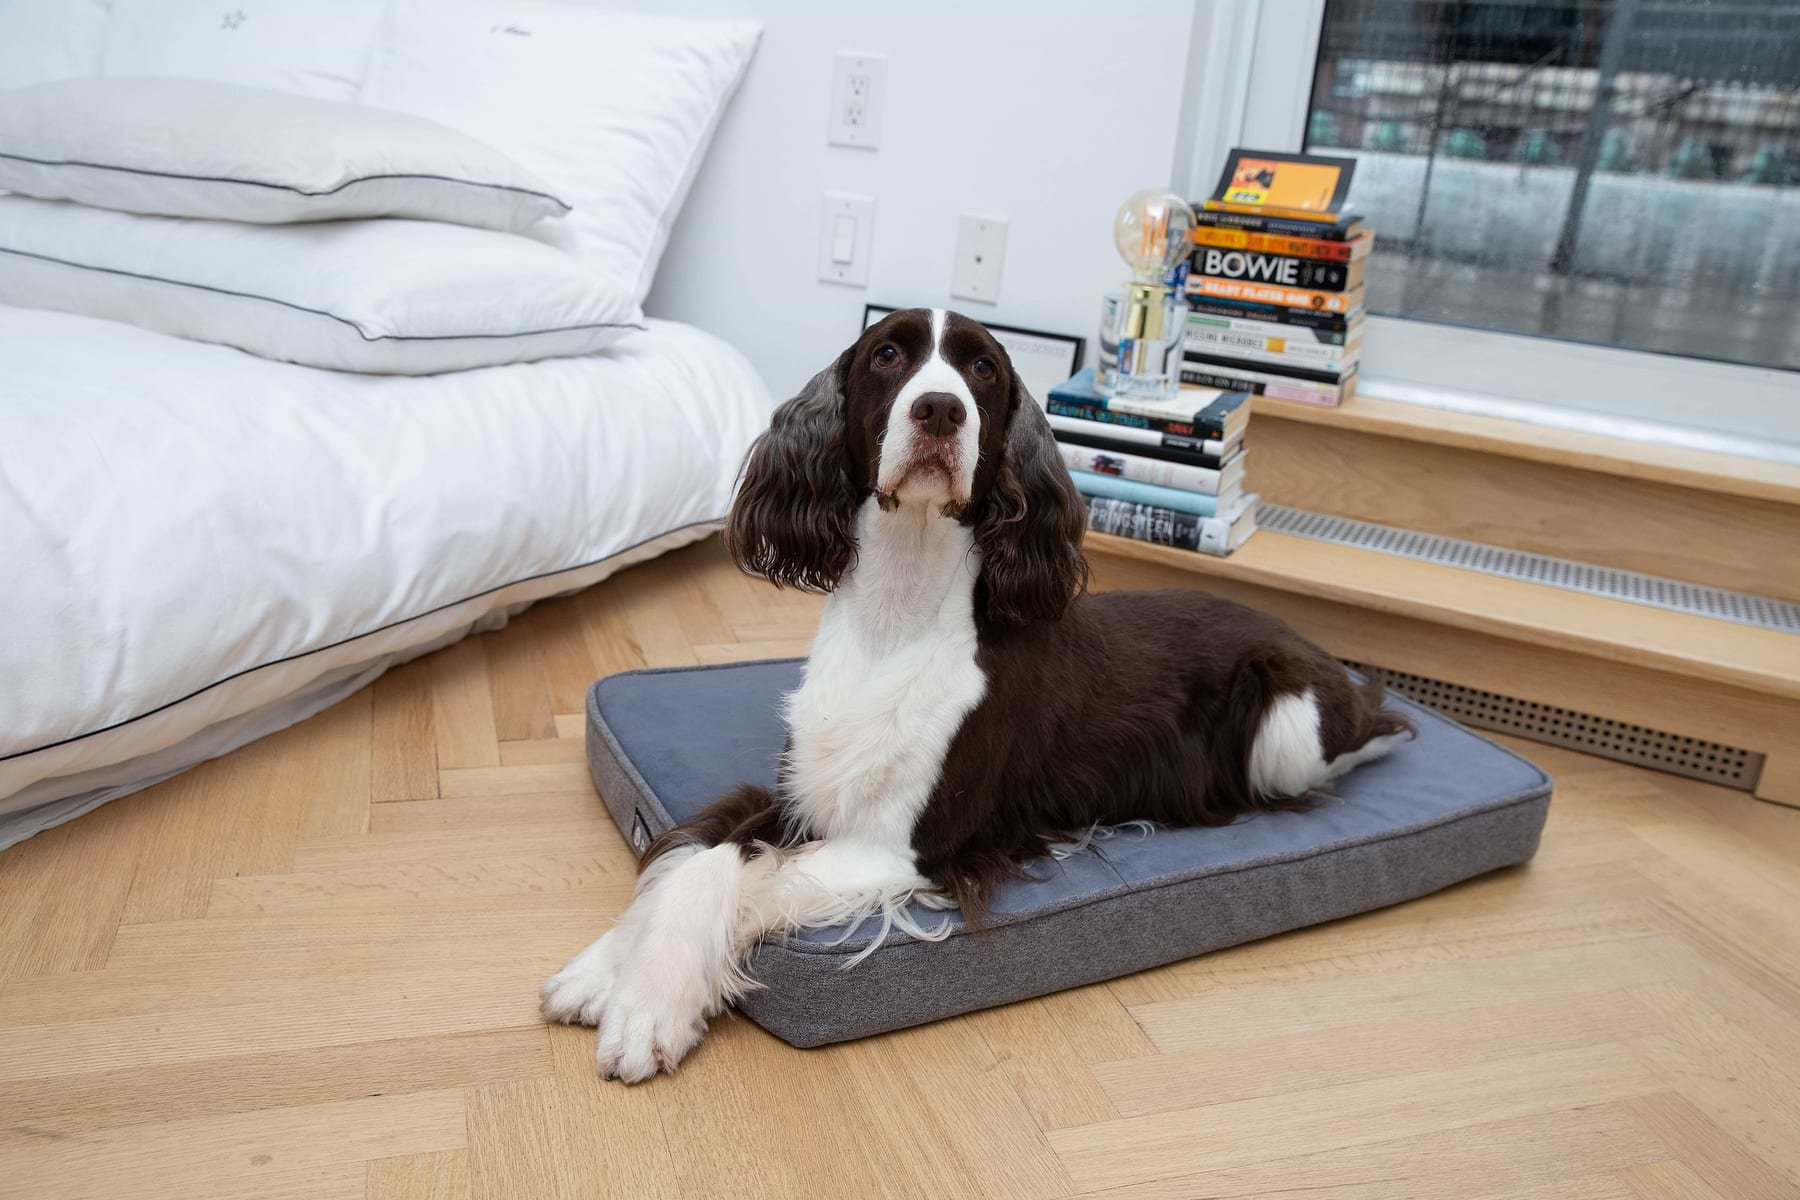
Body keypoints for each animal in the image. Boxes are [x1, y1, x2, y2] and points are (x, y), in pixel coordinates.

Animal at [540, 307, 1411, 1079]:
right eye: (889, 355)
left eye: (983, 368)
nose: (939, 408)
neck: (895, 617)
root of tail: (1303, 640)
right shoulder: (798, 795)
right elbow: (700, 855)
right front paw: (600, 971)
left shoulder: (906, 846)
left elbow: (753, 874)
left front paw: (649, 1009)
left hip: (1287, 727)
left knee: (1367, 727)